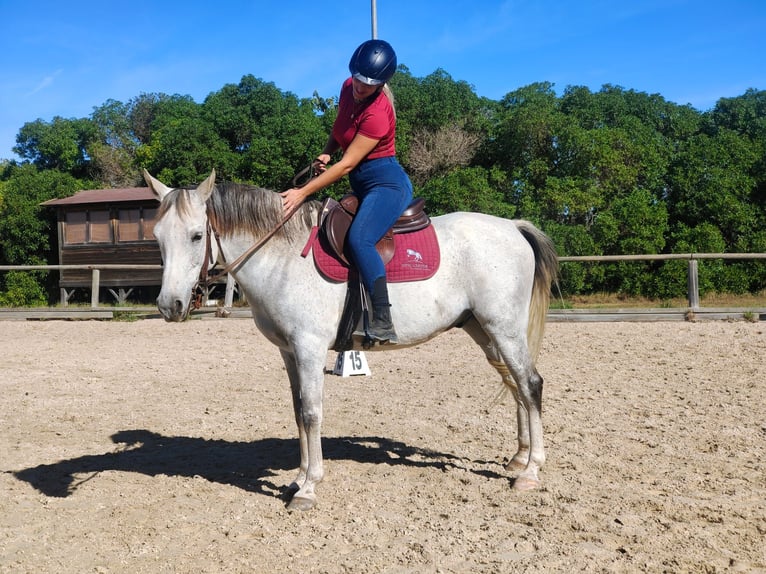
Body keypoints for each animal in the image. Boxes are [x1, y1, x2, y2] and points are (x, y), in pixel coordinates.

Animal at [142, 170, 560, 512]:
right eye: (158, 238)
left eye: (197, 235)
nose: (169, 305)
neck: (282, 256)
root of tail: (513, 227)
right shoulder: (289, 352)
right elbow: (298, 411)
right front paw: (298, 478)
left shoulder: (309, 349)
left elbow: (312, 412)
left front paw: (309, 488)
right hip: (484, 330)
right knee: (514, 385)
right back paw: (519, 457)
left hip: (503, 327)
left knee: (530, 384)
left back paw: (531, 471)